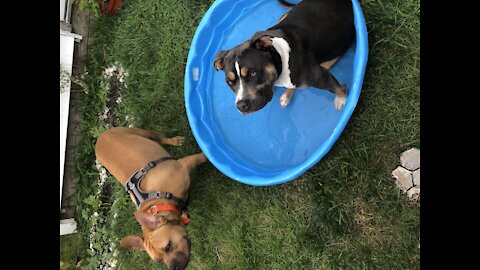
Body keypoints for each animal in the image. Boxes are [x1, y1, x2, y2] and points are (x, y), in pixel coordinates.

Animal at [94, 127, 207, 270]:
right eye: (159, 261)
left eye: (168, 247)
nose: (172, 268)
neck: (158, 200)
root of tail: (100, 137)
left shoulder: (185, 164)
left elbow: (202, 156)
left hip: (141, 132)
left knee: (158, 137)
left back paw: (174, 140)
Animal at [213, 0, 352, 114]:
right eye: (230, 82)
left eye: (253, 73)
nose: (241, 106)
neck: (280, 59)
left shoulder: (322, 76)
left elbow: (337, 88)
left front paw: (342, 99)